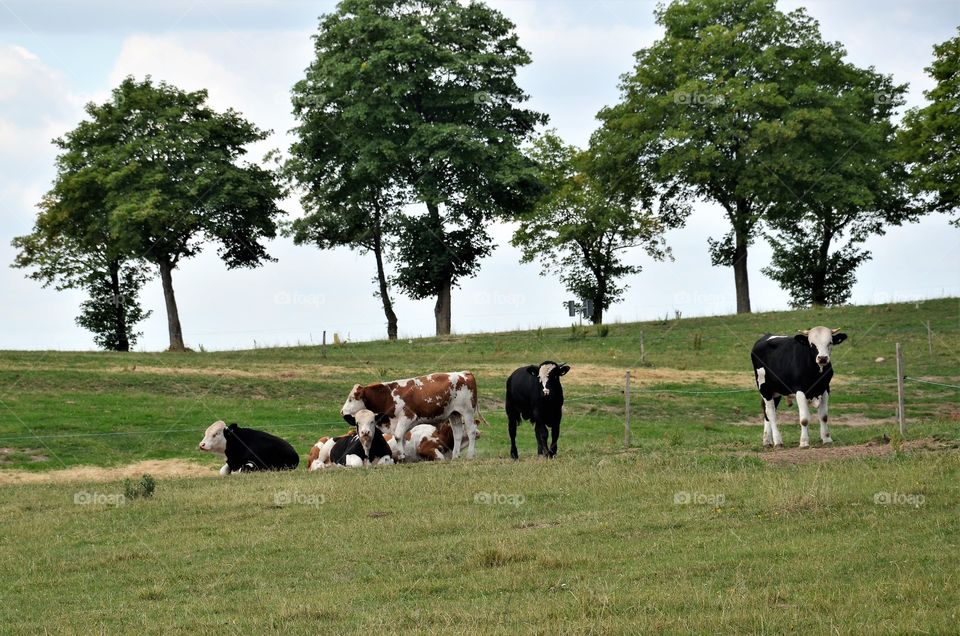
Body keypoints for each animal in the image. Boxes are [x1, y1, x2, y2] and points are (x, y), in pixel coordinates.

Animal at [341, 371, 481, 461]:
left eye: (351, 399)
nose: (342, 412)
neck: (389, 396)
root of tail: (465, 373)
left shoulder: (407, 416)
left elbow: (398, 436)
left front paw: (402, 455)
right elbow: (402, 438)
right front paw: (404, 455)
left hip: (467, 411)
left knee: (471, 431)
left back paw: (470, 455)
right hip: (454, 414)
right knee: (457, 434)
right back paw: (455, 456)